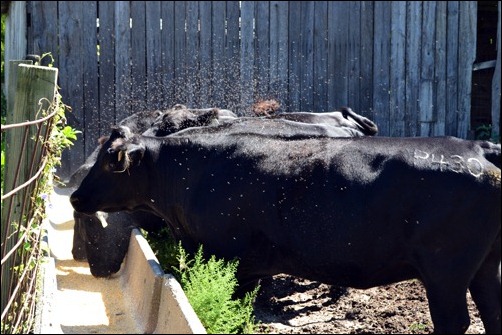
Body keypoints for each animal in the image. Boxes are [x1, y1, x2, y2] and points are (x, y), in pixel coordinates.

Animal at [69, 124, 498, 334]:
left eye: (109, 162)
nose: (74, 197)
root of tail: (477, 149)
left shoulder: (233, 261)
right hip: (485, 267)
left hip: (445, 270)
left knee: (454, 322)